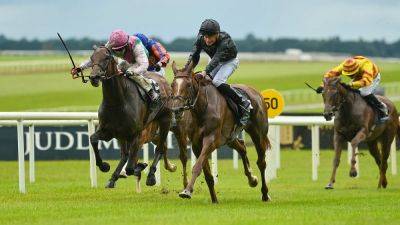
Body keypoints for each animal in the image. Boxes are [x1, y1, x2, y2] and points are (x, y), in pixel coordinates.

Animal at [86, 45, 176, 188]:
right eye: (91, 58)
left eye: (106, 57)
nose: (94, 77)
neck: (117, 102)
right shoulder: (109, 131)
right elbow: (93, 139)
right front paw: (104, 166)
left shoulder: (136, 134)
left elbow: (130, 167)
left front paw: (141, 166)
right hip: (123, 135)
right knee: (125, 155)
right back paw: (113, 178)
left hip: (164, 121)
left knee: (160, 148)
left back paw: (151, 175)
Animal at [170, 61, 270, 202]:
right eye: (172, 85)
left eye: (188, 85)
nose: (176, 109)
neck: (202, 109)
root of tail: (256, 92)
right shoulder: (196, 144)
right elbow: (207, 173)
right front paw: (214, 199)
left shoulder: (211, 139)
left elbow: (197, 166)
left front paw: (187, 191)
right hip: (229, 137)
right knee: (242, 147)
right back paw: (252, 179)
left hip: (258, 133)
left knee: (261, 162)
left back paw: (265, 194)